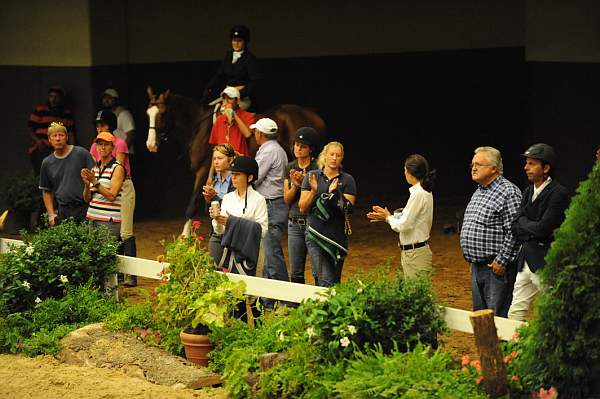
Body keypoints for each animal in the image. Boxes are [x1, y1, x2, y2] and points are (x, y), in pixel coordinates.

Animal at [145, 87, 326, 236]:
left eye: (162, 113)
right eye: (148, 114)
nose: (150, 144)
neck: (199, 127)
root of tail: (313, 114)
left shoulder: (202, 171)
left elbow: (192, 204)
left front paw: (184, 236)